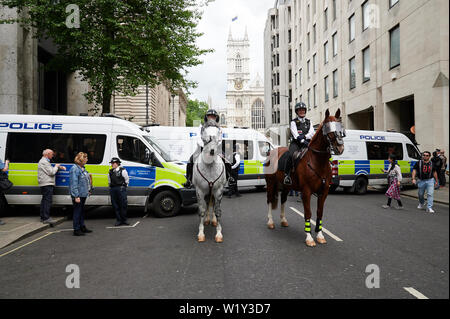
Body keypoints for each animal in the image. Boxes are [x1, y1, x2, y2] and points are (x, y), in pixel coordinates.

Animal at [264, 110, 344, 248]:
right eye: (328, 127)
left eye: (340, 126)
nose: (340, 148)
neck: (318, 162)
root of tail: (272, 152)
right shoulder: (306, 192)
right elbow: (308, 213)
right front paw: (309, 238)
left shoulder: (323, 192)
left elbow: (319, 212)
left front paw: (320, 235)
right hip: (271, 183)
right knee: (269, 200)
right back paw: (270, 222)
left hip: (286, 186)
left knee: (283, 200)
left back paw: (283, 220)